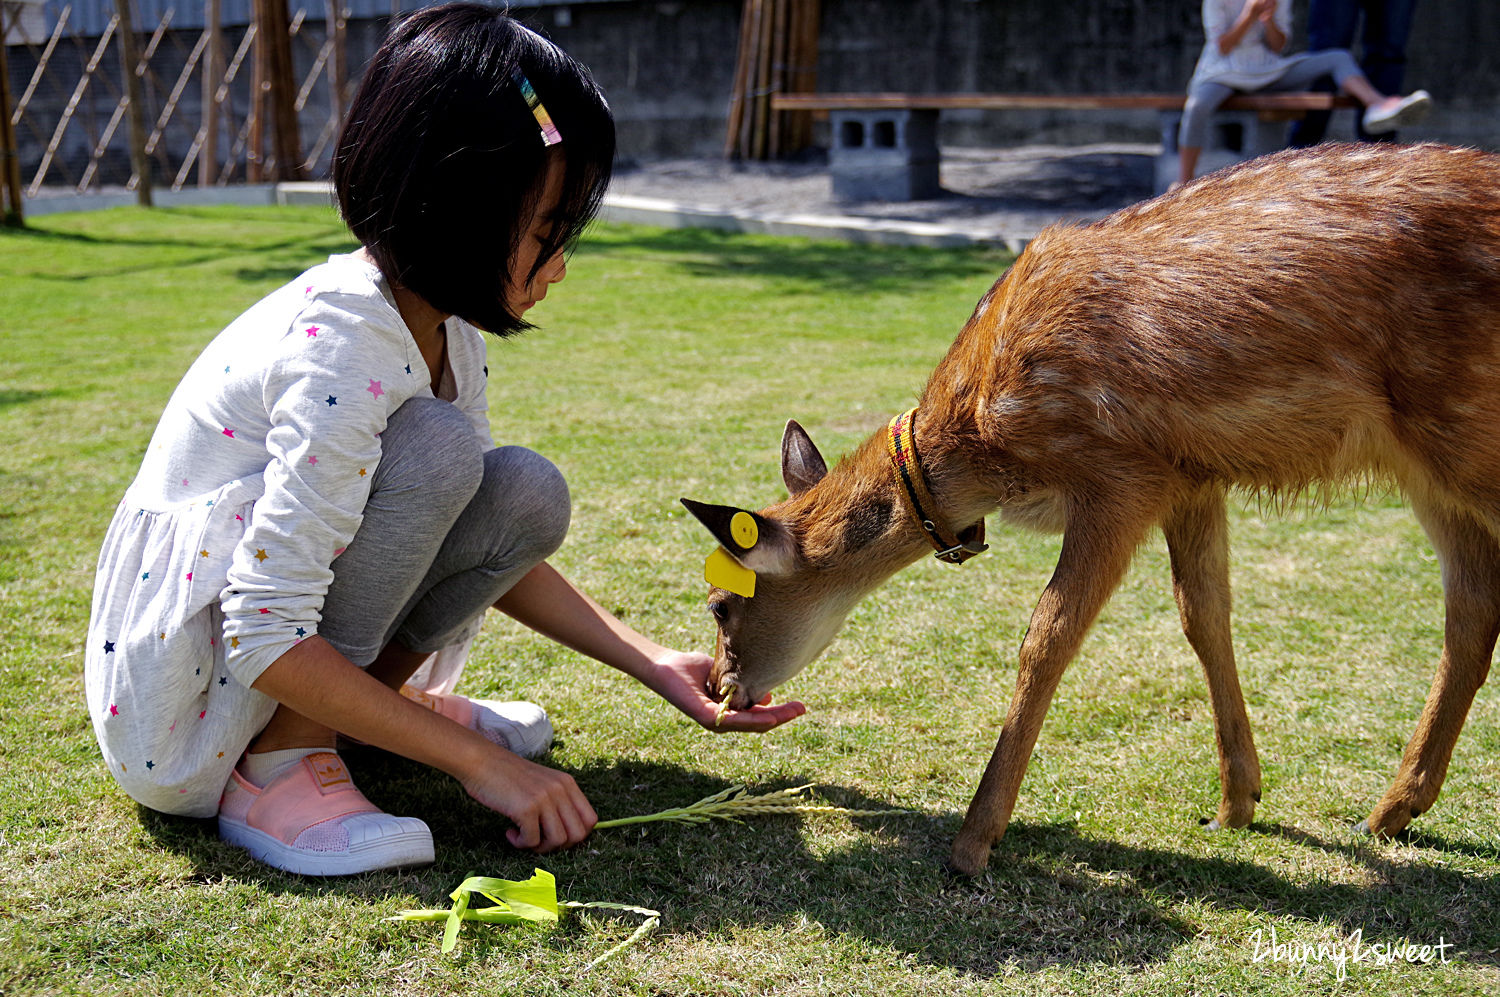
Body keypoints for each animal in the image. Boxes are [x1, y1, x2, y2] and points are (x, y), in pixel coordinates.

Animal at [684, 143, 1500, 875]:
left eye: (721, 603)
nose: (722, 687)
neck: (990, 445)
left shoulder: (1121, 472)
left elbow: (1047, 637)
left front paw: (973, 842)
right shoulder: (1190, 474)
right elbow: (1203, 614)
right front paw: (1236, 802)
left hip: (1463, 435)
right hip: (1427, 469)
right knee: (1473, 607)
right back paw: (1391, 810)